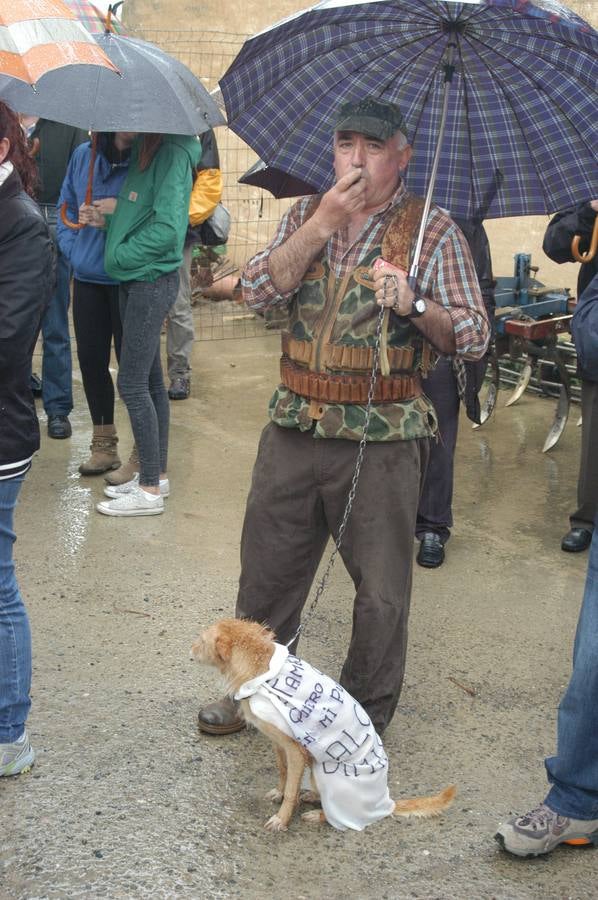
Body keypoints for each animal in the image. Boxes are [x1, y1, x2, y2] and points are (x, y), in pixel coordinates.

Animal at [192, 624, 460, 832]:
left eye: (202, 640)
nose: (190, 650)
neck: (263, 673)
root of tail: (385, 803)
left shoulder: (296, 751)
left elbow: (292, 788)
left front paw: (282, 818)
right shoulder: (278, 743)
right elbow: (283, 772)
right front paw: (279, 792)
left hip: (328, 775)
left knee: (340, 817)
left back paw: (318, 814)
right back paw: (312, 795)